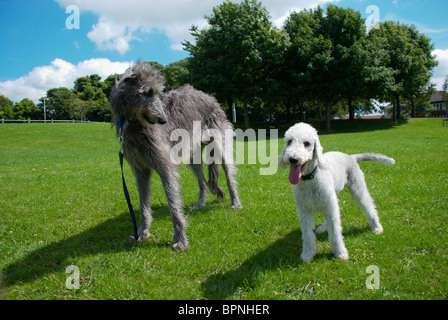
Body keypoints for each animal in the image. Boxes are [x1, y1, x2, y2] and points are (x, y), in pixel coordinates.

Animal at [110, 62, 242, 250]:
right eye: (147, 92)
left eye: (158, 93)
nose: (163, 120)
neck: (135, 124)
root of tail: (210, 97)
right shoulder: (140, 169)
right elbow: (143, 203)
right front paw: (142, 234)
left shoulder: (165, 166)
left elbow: (173, 203)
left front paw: (181, 239)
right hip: (193, 154)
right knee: (202, 181)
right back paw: (199, 204)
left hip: (220, 142)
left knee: (229, 174)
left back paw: (235, 202)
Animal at [280, 124, 396, 262]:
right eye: (289, 141)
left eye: (307, 143)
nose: (293, 159)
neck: (311, 178)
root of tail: (350, 156)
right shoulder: (304, 211)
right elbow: (308, 235)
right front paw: (308, 254)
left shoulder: (329, 206)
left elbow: (335, 233)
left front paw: (340, 253)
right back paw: (323, 227)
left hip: (357, 188)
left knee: (368, 206)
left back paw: (377, 227)